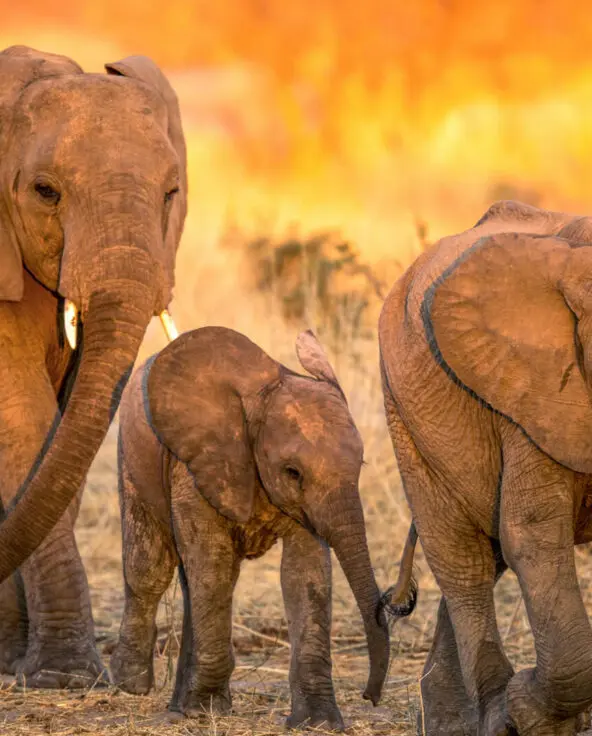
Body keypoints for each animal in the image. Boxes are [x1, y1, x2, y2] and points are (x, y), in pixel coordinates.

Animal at [0, 45, 187, 688]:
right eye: (45, 191)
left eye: (170, 193)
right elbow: (23, 420)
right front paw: (63, 678)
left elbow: (68, 425)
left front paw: (28, 666)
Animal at [110, 326, 414, 729]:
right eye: (293, 471)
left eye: (360, 464)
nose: (370, 696)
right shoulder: (196, 464)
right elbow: (212, 564)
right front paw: (207, 708)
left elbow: (305, 574)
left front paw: (318, 723)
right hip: (131, 457)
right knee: (151, 567)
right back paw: (133, 683)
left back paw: (181, 705)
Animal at [379, 199, 592, 734]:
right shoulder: (530, 389)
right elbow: (532, 534)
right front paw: (529, 713)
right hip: (406, 414)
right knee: (464, 560)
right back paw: (489, 719)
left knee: (484, 550)